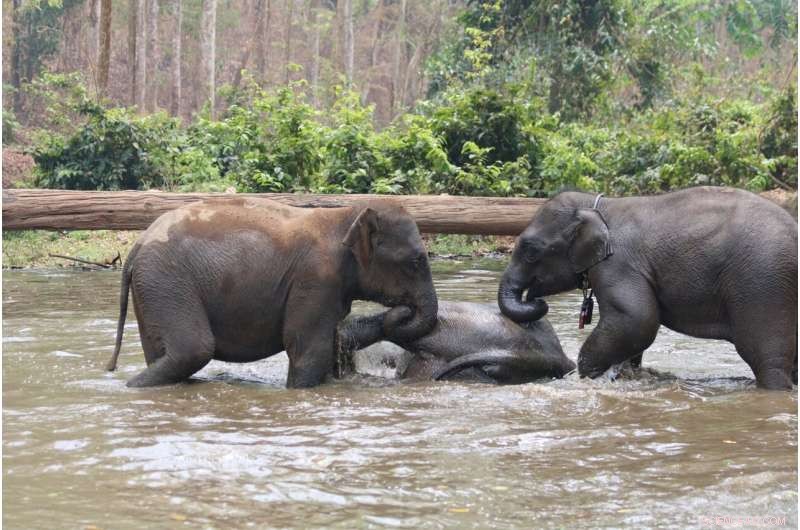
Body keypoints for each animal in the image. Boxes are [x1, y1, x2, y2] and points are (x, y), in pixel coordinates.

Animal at [106, 197, 438, 388]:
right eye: (416, 261)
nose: (405, 309)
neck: (345, 216)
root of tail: (136, 246)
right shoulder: (315, 280)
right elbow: (308, 350)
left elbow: (335, 342)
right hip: (167, 282)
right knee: (194, 349)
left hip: (152, 289)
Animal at [497, 187, 797, 390]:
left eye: (530, 251)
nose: (536, 302)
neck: (599, 205)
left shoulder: (618, 264)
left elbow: (636, 320)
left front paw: (587, 375)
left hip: (763, 282)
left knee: (764, 356)